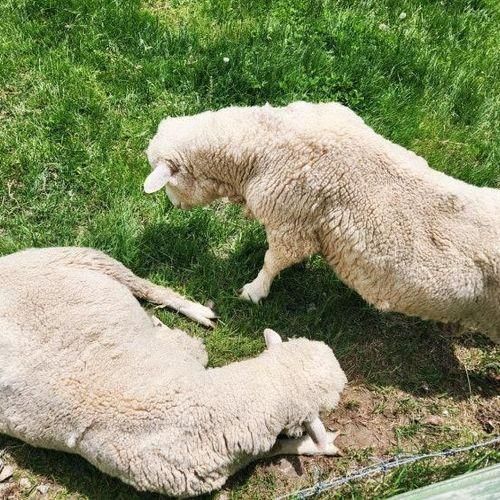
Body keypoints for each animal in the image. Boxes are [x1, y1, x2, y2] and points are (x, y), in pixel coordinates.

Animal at [0, 246, 348, 496]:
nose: (337, 361)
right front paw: (319, 444)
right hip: (78, 257)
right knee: (149, 289)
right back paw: (195, 312)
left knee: (149, 288)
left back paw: (195, 311)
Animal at [144, 101, 500, 344]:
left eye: (170, 184)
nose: (174, 205)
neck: (266, 145)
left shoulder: (291, 223)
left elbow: (272, 262)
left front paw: (254, 292)